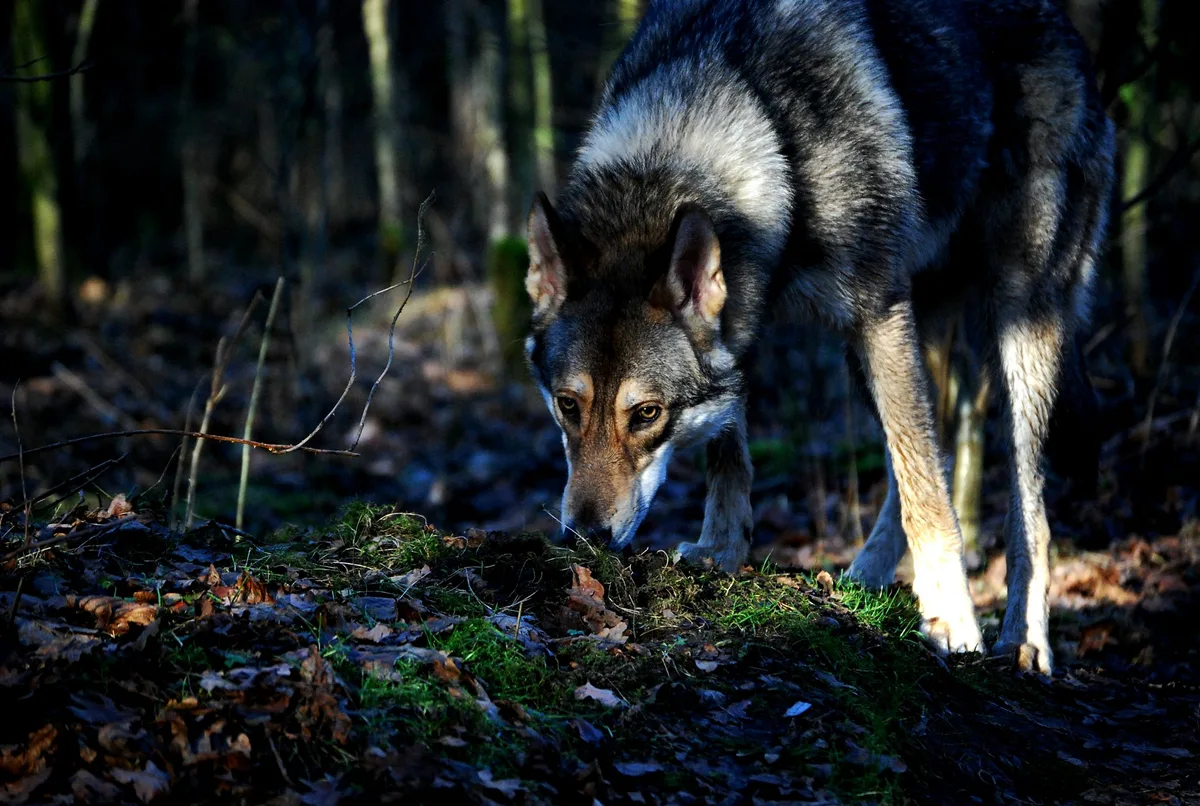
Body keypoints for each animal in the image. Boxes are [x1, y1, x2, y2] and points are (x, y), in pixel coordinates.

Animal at [522, 0, 1114, 675]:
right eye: (568, 406)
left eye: (646, 414)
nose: (584, 538)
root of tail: (1068, 30)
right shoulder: (754, 327)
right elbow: (731, 453)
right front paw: (721, 550)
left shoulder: (878, 311)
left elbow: (927, 494)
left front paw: (952, 619)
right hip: (883, 347)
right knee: (926, 454)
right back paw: (864, 581)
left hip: (1013, 325)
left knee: (1021, 504)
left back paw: (1023, 640)